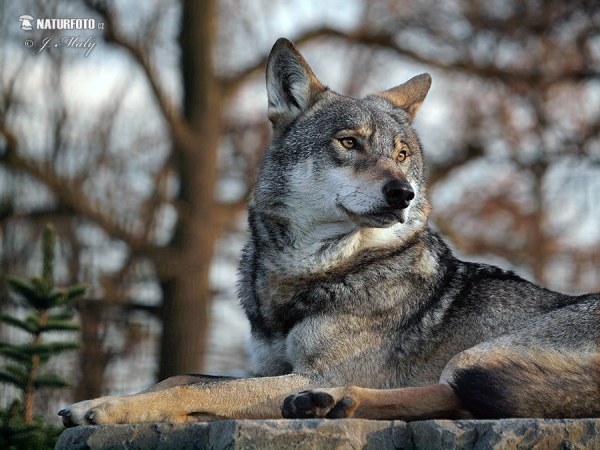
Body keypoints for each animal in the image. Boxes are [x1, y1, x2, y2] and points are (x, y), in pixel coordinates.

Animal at [57, 37, 600, 426]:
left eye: (402, 154)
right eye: (349, 143)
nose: (403, 193)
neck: (312, 273)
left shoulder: (311, 369)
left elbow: (202, 389)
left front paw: (105, 407)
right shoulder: (272, 368)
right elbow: (179, 377)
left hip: (479, 355)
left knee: (457, 392)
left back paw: (331, 401)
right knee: (455, 400)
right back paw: (328, 404)